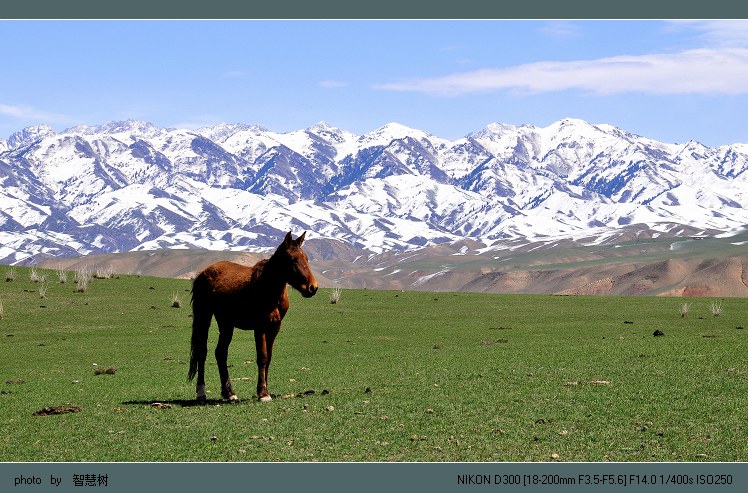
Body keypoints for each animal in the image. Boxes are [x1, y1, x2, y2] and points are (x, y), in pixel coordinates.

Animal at [188, 230, 318, 400]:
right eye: (292, 259)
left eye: (307, 259)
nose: (312, 287)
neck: (268, 288)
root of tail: (203, 273)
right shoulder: (260, 327)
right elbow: (262, 357)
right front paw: (262, 393)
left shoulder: (274, 327)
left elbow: (269, 357)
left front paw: (266, 389)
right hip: (204, 316)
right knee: (202, 352)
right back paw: (201, 392)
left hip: (226, 323)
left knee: (220, 353)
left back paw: (229, 393)